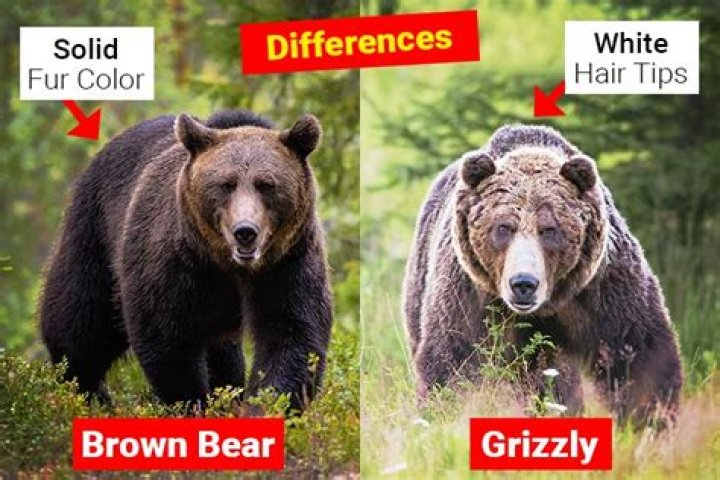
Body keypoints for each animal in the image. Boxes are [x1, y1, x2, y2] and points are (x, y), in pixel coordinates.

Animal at [39, 109, 332, 413]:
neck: (225, 263)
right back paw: (84, 390)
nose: (245, 231)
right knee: (81, 320)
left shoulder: (287, 262)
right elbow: (166, 337)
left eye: (267, 184)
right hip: (95, 231)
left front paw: (263, 406)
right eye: (226, 184)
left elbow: (290, 334)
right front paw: (191, 403)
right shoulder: (175, 261)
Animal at [403, 124, 683, 427]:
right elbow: (454, 360)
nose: (523, 283)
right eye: (503, 227)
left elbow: (638, 356)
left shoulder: (603, 288)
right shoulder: (470, 295)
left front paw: (650, 422)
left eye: (549, 229)